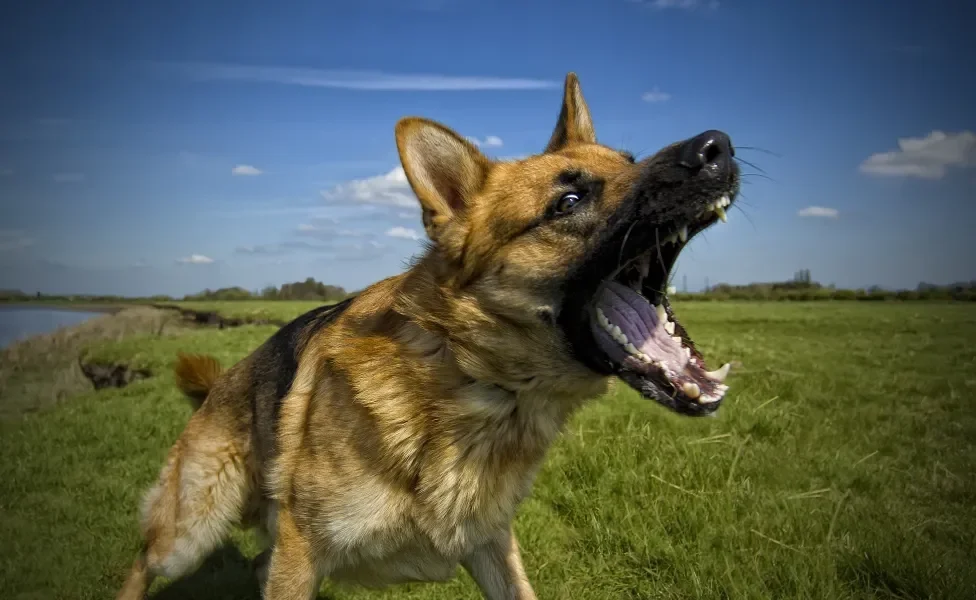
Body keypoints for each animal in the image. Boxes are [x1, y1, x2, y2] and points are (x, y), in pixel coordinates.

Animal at [114, 72, 740, 596]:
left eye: (629, 160)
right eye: (569, 201)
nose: (716, 147)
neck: (470, 379)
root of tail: (222, 383)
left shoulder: (491, 546)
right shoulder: (300, 551)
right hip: (191, 531)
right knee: (144, 561)